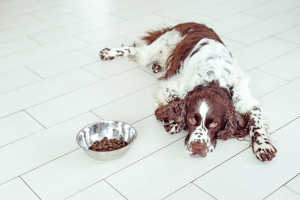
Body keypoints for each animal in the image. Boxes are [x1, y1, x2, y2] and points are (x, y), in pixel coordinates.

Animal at [98, 22, 276, 162]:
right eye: (191, 119)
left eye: (214, 124)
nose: (197, 148)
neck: (214, 80)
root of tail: (190, 22)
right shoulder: (171, 87)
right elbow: (176, 102)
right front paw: (175, 122)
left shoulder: (245, 100)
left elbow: (257, 123)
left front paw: (263, 146)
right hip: (157, 47)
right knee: (135, 50)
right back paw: (109, 52)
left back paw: (156, 66)